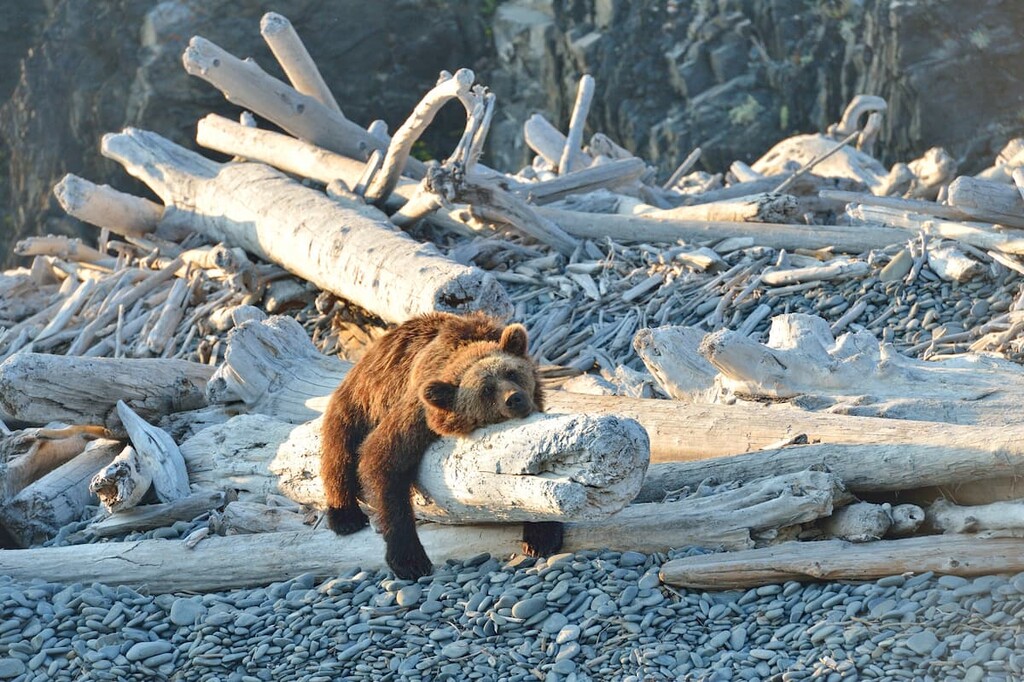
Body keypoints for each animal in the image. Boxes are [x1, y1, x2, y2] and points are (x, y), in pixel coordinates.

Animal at [320, 311, 563, 580]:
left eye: (511, 372)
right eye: (486, 390)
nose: (514, 398)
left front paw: (541, 535)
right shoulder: (418, 410)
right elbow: (382, 458)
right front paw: (410, 560)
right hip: (361, 400)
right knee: (339, 446)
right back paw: (344, 516)